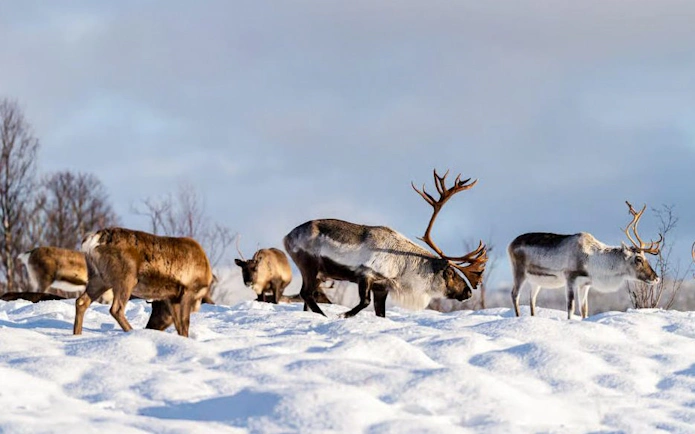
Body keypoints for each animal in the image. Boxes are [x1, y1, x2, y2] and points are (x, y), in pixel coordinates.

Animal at [73, 228, 214, 337]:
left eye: (157, 307)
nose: (150, 326)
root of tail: (93, 240)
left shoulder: (172, 297)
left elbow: (179, 324)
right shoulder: (189, 290)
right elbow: (184, 324)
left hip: (99, 278)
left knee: (81, 301)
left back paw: (77, 335)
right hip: (126, 277)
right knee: (116, 309)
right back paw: (132, 332)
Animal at [284, 169, 488, 318]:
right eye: (451, 273)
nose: (468, 292)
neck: (403, 266)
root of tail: (287, 236)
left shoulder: (382, 287)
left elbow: (380, 312)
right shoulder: (366, 274)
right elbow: (364, 302)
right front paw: (344, 315)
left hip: (320, 273)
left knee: (307, 296)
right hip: (309, 265)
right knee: (306, 293)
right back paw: (324, 316)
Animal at [509, 201, 662, 319]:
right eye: (638, 259)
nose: (656, 278)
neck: (592, 259)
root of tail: (510, 244)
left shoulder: (585, 284)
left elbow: (584, 310)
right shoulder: (570, 279)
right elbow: (571, 307)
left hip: (536, 281)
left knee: (532, 299)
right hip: (519, 272)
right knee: (515, 294)